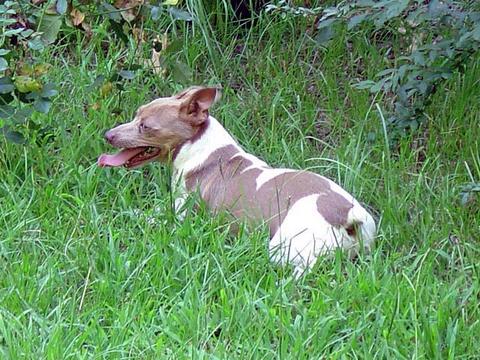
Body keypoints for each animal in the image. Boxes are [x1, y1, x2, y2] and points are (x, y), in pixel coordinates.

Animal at [97, 86, 376, 274]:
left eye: (145, 126)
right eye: (136, 115)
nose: (107, 134)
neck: (202, 151)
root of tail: (348, 216)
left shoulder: (181, 215)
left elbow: (148, 217)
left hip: (284, 248)